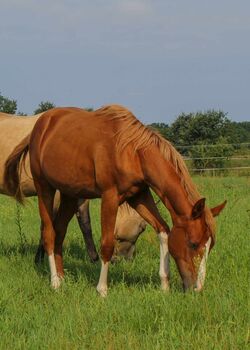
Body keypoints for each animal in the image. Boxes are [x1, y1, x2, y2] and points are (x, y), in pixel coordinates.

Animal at [0, 113, 146, 262]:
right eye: (142, 229)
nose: (123, 260)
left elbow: (85, 223)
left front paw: (93, 258)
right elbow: (47, 225)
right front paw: (39, 259)